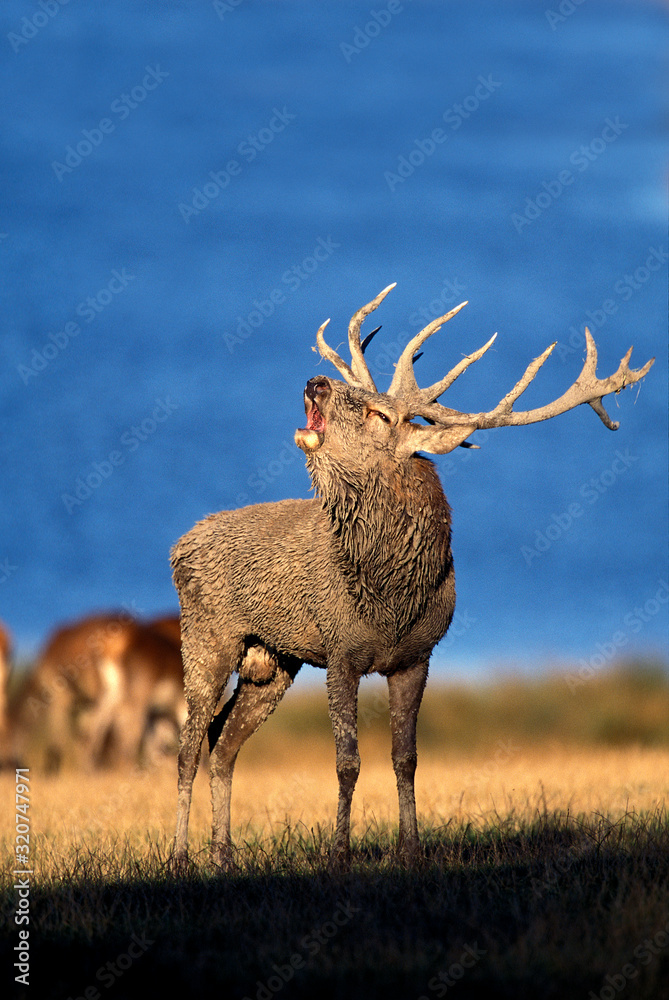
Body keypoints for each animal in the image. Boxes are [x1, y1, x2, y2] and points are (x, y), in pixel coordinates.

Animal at [171, 282, 652, 868]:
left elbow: (406, 758)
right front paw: (339, 854)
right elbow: (348, 761)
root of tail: (179, 544)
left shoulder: (417, 656)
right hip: (208, 636)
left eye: (379, 413)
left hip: (273, 661)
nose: (316, 381)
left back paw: (223, 855)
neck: (393, 596)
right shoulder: (341, 651)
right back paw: (180, 856)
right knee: (189, 744)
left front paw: (412, 851)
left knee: (223, 742)